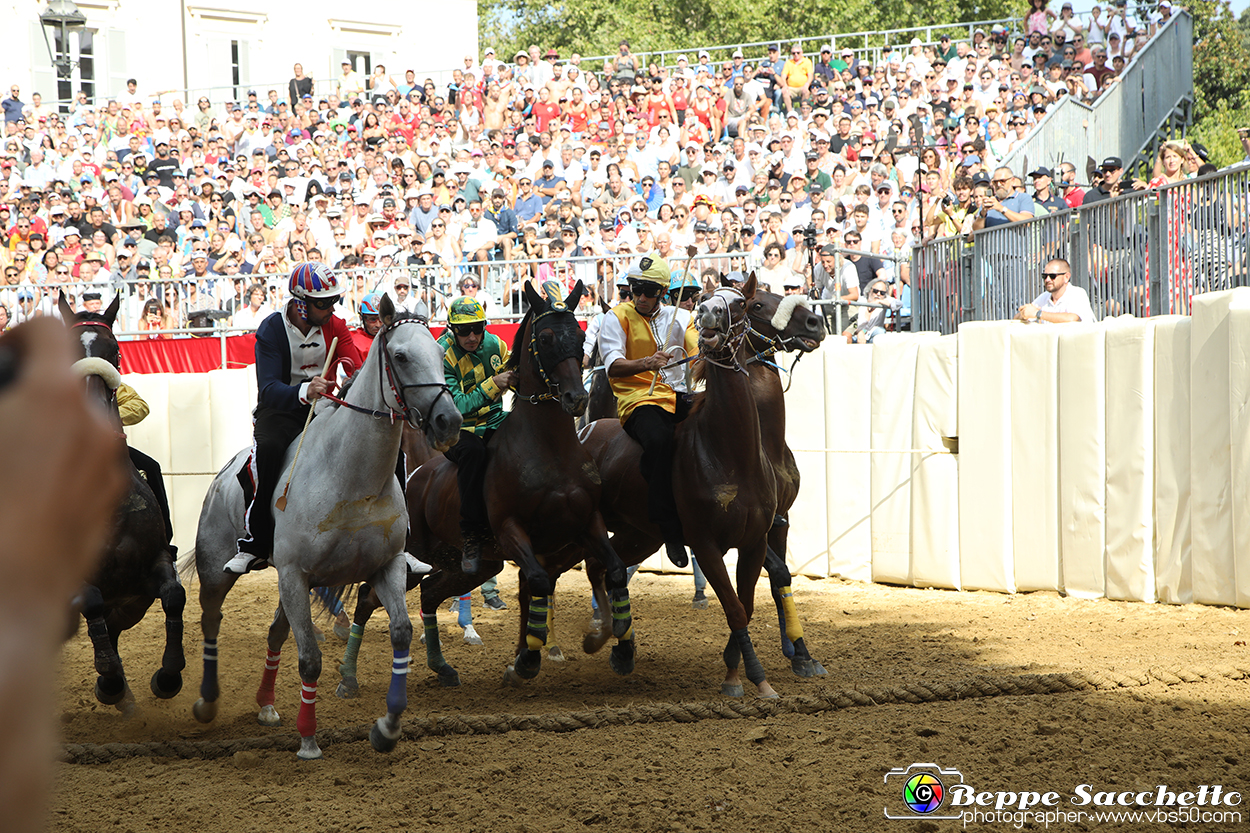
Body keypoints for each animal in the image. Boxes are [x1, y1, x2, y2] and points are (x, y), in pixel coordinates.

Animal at [60, 291, 185, 705]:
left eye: (114, 351)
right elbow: (92, 601)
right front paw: (110, 680)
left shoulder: (152, 568)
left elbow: (175, 595)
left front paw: (167, 676)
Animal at [192, 295, 467, 755]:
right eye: (400, 356)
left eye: (438, 353)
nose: (449, 421)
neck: (352, 478)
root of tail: (219, 480)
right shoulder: (295, 573)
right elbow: (309, 660)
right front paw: (308, 738)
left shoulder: (386, 567)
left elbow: (401, 634)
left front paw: (387, 727)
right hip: (219, 572)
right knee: (212, 622)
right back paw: (207, 703)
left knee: (274, 634)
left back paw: (266, 704)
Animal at [335, 278, 635, 685]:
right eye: (545, 337)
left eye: (580, 333)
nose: (576, 397)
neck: (549, 449)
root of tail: (412, 481)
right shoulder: (511, 530)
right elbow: (538, 581)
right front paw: (526, 659)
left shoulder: (588, 522)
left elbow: (614, 569)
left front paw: (619, 646)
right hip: (413, 556)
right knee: (369, 596)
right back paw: (347, 675)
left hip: (468, 564)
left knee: (429, 593)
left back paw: (441, 666)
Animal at [577, 277, 775, 695]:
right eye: (706, 299)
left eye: (742, 303)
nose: (708, 313)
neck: (730, 453)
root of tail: (585, 430)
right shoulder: (706, 544)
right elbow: (734, 608)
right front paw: (749, 677)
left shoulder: (754, 543)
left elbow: (745, 607)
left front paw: (738, 672)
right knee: (582, 569)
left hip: (641, 535)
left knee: (604, 567)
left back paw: (615, 642)